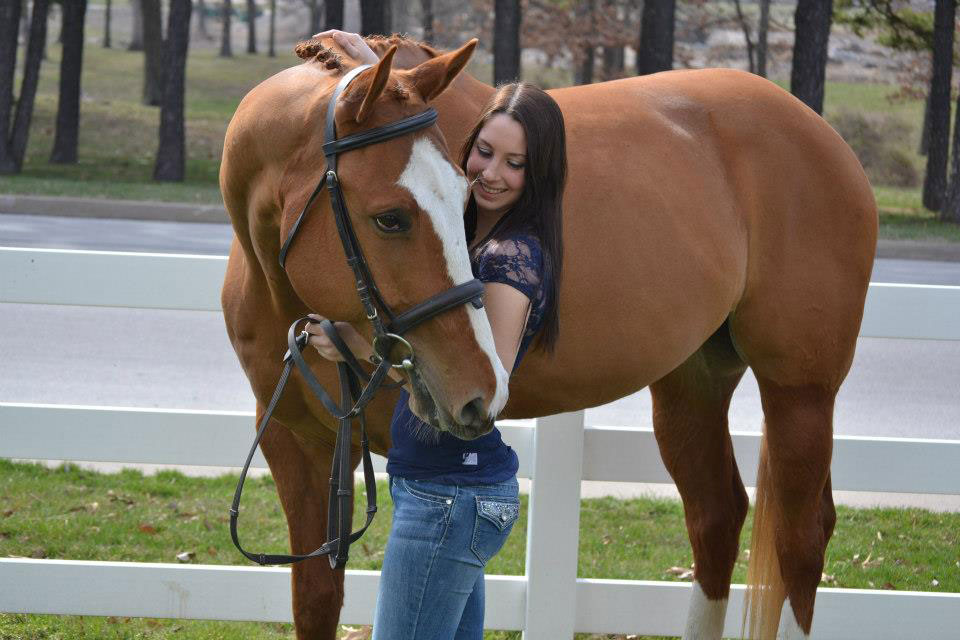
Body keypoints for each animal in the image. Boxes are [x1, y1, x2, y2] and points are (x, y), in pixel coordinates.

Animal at [219, 34, 876, 640]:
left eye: (462, 193)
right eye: (390, 217)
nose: (477, 387)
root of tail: (819, 132)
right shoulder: (295, 440)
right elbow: (316, 600)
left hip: (800, 393)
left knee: (800, 539)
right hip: (693, 383)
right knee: (716, 516)